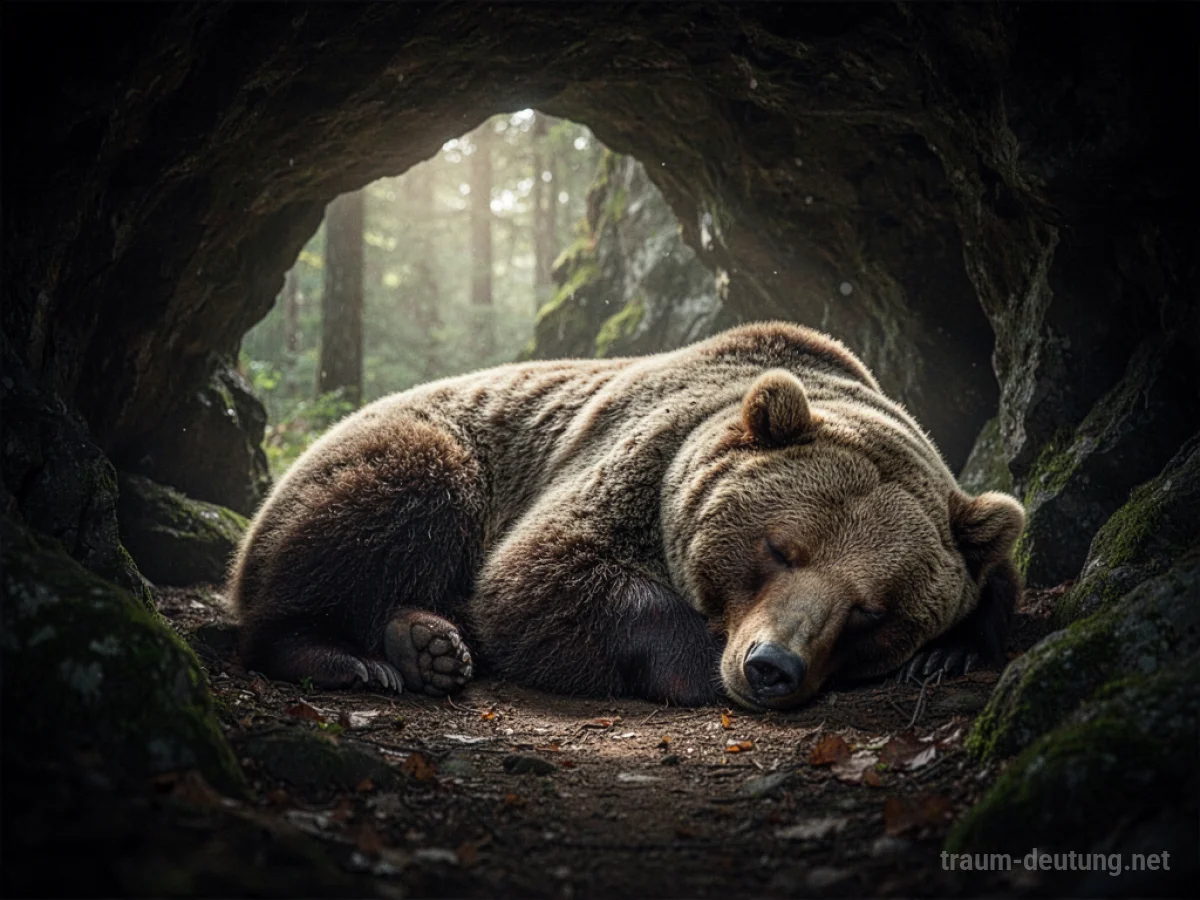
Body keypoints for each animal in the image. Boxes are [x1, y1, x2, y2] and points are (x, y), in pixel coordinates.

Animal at [229, 322, 1024, 710]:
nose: (770, 666)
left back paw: (423, 641)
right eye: (780, 548)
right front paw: (700, 667)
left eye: (872, 611)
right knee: (387, 501)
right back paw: (350, 656)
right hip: (421, 448)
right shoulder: (633, 464)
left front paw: (946, 651)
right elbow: (538, 578)